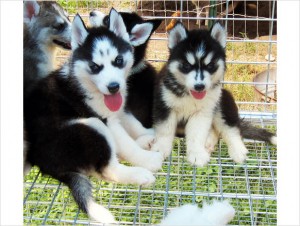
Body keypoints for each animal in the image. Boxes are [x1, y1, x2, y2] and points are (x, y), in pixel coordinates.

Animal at [23, 9, 159, 222]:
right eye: (95, 67)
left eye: (118, 61)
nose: (113, 87)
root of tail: (43, 163)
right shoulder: (105, 120)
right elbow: (127, 145)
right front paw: (147, 159)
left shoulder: (117, 111)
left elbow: (131, 123)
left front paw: (149, 134)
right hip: (90, 127)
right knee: (108, 169)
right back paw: (140, 174)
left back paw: (144, 142)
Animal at [151, 22, 278, 166]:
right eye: (186, 66)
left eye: (210, 65)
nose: (199, 86)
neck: (189, 95)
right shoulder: (164, 106)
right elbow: (165, 131)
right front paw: (161, 149)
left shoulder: (202, 113)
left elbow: (197, 135)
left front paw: (197, 154)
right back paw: (210, 141)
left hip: (222, 102)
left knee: (231, 129)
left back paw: (237, 151)